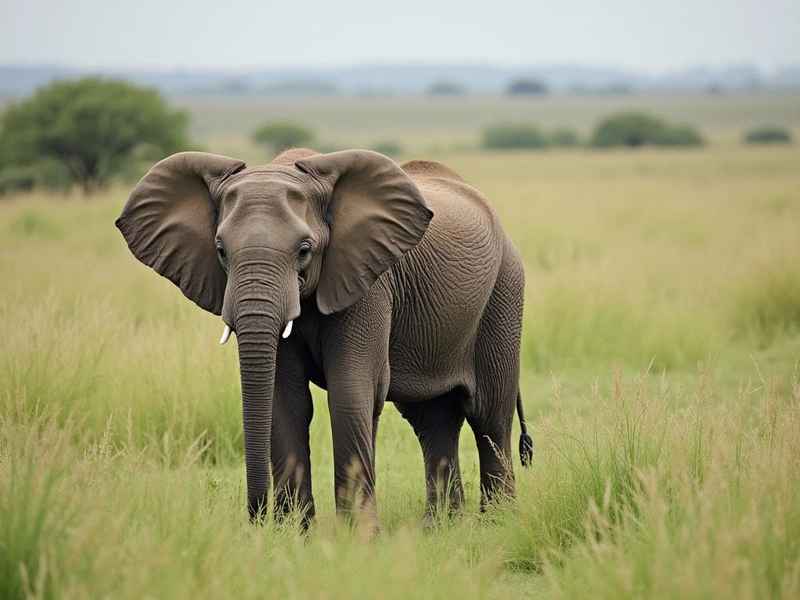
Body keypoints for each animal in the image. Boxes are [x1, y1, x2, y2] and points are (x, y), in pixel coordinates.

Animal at [116, 147, 533, 527]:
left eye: (304, 251)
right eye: (221, 251)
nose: (256, 518)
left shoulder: (370, 284)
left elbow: (351, 391)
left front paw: (358, 538)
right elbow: (285, 399)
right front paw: (294, 534)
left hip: (504, 292)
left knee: (489, 416)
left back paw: (497, 523)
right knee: (433, 419)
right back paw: (441, 528)